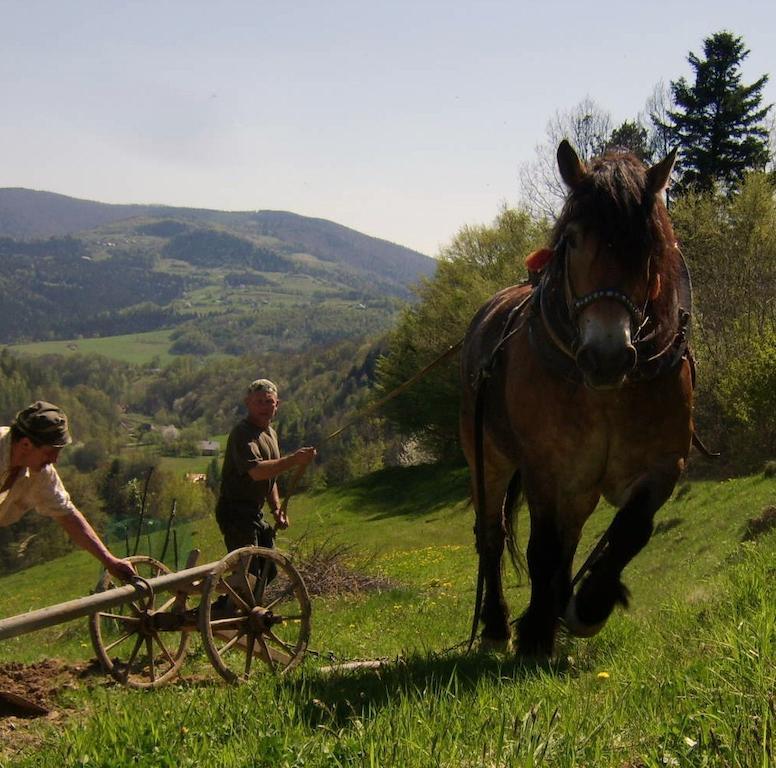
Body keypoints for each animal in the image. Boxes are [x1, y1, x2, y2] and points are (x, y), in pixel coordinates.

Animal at [460, 142, 692, 656]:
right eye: (572, 239)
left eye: (649, 244)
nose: (606, 356)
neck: (605, 395)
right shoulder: (545, 467)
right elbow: (541, 548)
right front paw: (535, 634)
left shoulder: (663, 467)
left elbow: (630, 531)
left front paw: (586, 606)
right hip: (490, 460)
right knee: (492, 534)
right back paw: (497, 625)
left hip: (580, 486)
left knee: (569, 536)